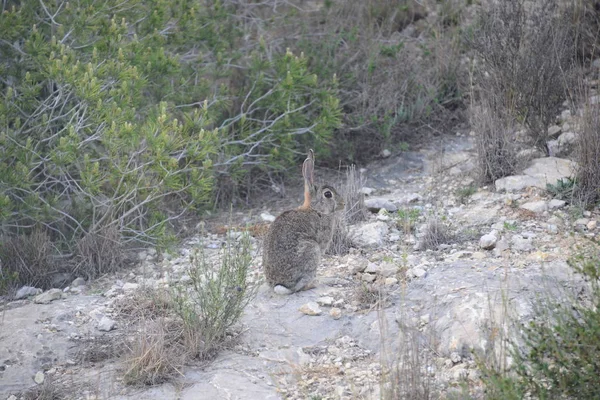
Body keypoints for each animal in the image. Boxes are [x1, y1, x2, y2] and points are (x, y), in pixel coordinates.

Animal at [264, 149, 344, 294]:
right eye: (328, 194)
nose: (343, 204)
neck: (316, 209)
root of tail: (280, 285)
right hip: (312, 250)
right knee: (300, 286)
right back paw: (314, 283)